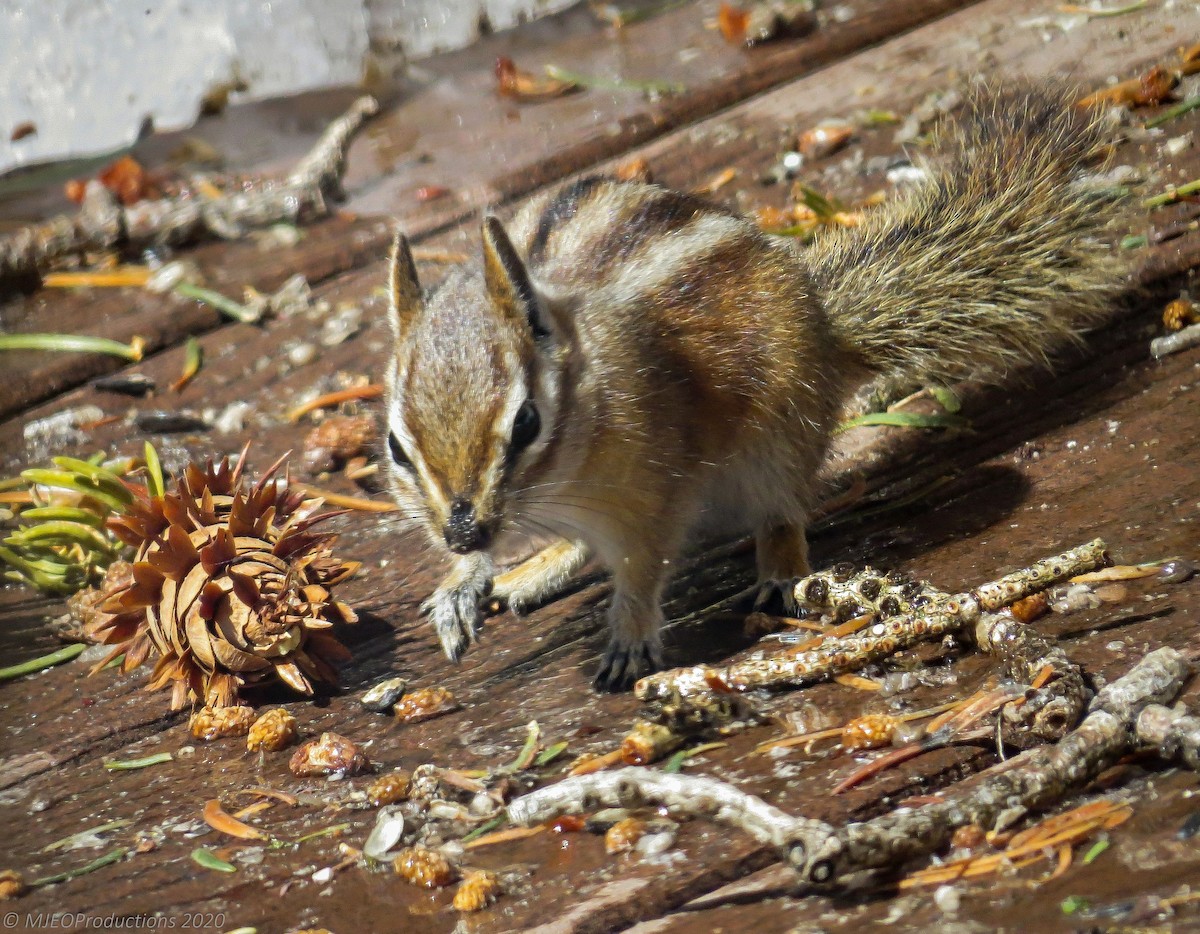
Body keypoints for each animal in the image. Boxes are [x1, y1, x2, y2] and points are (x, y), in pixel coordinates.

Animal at [381, 84, 1125, 691]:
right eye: (394, 447)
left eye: (527, 422)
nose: (463, 533)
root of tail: (825, 327)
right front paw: (460, 585)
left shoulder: (652, 486)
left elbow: (643, 562)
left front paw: (629, 633)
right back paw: (534, 568)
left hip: (781, 434)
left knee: (781, 510)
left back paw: (781, 573)